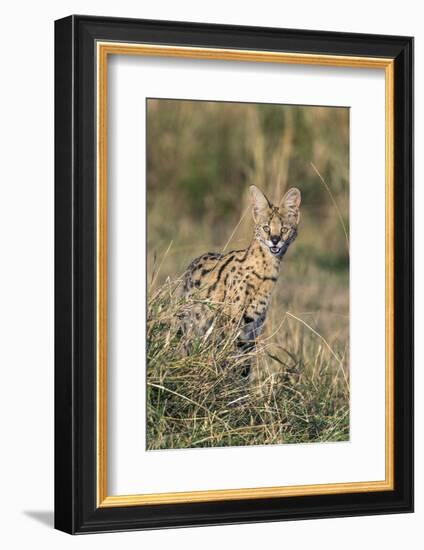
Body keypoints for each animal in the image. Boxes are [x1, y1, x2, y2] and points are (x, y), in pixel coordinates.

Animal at [180, 185, 302, 380]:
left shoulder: (252, 329)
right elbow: (231, 363)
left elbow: (244, 369)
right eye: (266, 228)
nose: (275, 240)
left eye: (284, 229)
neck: (266, 273)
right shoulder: (233, 326)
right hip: (194, 326)